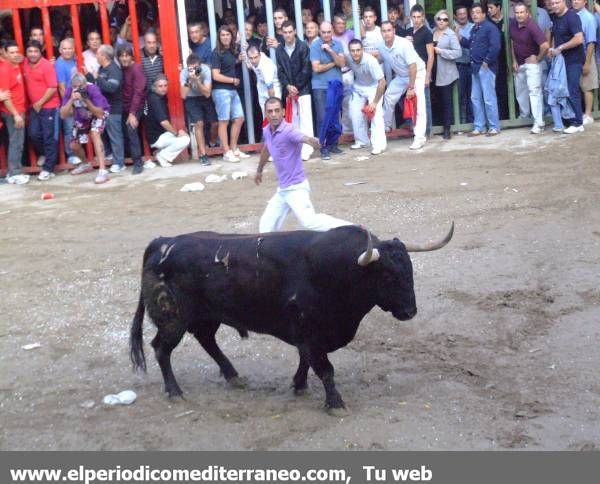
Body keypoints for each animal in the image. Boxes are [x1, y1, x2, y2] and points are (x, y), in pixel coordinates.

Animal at [130, 225, 450, 410]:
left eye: (409, 271)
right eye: (386, 275)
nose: (410, 312)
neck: (336, 270)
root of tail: (161, 242)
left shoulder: (307, 336)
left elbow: (305, 361)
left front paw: (298, 385)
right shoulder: (311, 332)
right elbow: (325, 368)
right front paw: (335, 403)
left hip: (206, 315)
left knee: (206, 340)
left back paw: (233, 376)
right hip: (173, 318)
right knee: (162, 349)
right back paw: (175, 392)